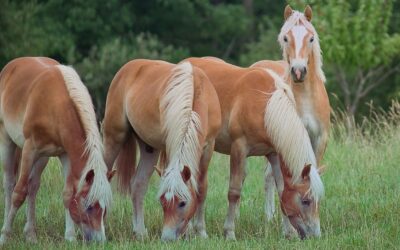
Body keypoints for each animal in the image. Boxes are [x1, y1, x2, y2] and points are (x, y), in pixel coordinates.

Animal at [0, 57, 114, 244]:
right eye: (90, 207)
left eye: (105, 209)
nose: (100, 241)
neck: (55, 105)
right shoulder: (29, 150)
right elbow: (19, 193)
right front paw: (5, 235)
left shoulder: (65, 154)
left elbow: (67, 195)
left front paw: (70, 237)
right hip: (8, 142)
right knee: (10, 183)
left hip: (42, 158)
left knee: (33, 186)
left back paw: (30, 234)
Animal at [102, 58, 222, 240]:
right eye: (162, 202)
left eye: (182, 203)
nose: (167, 238)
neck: (195, 93)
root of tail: (127, 68)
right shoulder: (170, 146)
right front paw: (189, 232)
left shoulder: (208, 147)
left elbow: (201, 188)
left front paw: (201, 232)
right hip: (113, 137)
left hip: (149, 149)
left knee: (138, 184)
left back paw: (140, 231)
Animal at [186, 57, 324, 240]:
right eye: (305, 201)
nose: (315, 235)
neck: (265, 106)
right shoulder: (239, 148)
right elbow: (234, 191)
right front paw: (229, 232)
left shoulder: (273, 153)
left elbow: (281, 191)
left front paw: (289, 233)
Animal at [250, 5, 332, 236]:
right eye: (286, 38)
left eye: (311, 38)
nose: (298, 71)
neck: (305, 98)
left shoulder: (319, 140)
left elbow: (312, 173)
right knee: (268, 177)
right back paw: (269, 218)